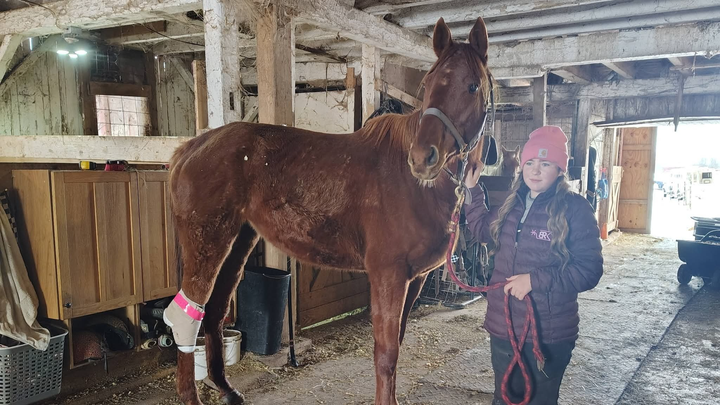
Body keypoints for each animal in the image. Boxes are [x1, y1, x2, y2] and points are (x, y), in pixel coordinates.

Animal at [165, 16, 494, 405]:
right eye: (427, 84)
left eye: (472, 86)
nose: (422, 158)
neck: (410, 184)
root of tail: (192, 146)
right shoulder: (388, 275)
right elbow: (386, 353)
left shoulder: (414, 279)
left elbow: (397, 344)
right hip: (208, 242)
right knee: (188, 314)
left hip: (237, 241)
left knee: (214, 312)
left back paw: (228, 390)